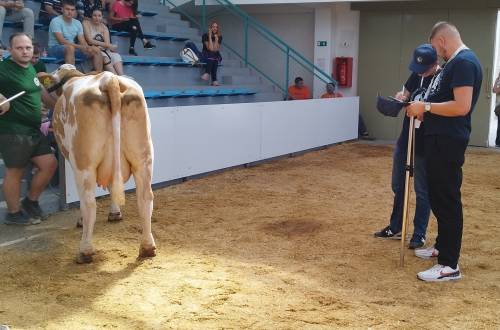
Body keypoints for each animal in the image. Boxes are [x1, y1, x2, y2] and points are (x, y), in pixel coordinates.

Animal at [42, 65, 156, 262]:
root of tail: (109, 79)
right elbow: (112, 186)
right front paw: (115, 213)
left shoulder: (73, 161)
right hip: (143, 157)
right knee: (145, 197)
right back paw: (147, 247)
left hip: (84, 162)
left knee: (88, 203)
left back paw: (85, 250)